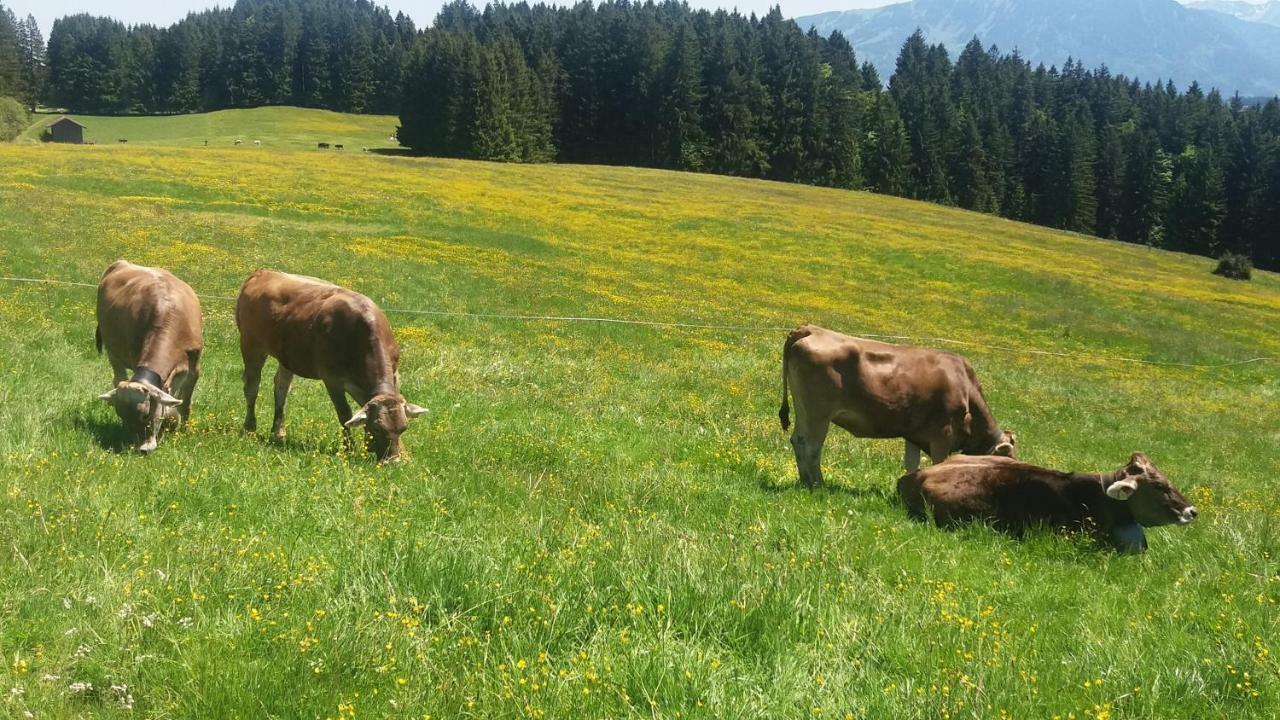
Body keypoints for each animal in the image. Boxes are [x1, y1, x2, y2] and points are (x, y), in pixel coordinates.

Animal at [94, 257, 202, 450]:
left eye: (145, 414)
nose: (140, 449)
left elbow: (184, 401)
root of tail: (121, 262)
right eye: (122, 416)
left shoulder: (193, 365)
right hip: (113, 353)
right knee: (118, 375)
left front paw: (179, 426)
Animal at [232, 269, 427, 458]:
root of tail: (262, 272)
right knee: (252, 386)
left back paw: (278, 433)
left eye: (403, 428)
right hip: (251, 345)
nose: (392, 461)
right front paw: (349, 450)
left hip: (287, 356)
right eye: (377, 428)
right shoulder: (332, 379)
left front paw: (404, 453)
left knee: (281, 388)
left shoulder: (392, 376)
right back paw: (249, 428)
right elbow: (345, 414)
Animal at [773, 326, 1013, 486]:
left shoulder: (914, 434)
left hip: (805, 410)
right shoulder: (942, 435)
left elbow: (911, 464)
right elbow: (938, 463)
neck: (963, 385)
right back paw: (817, 484)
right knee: (811, 446)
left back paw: (805, 481)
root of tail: (810, 329)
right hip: (818, 414)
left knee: (798, 441)